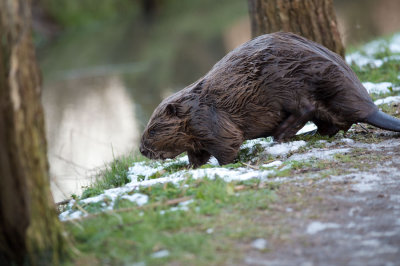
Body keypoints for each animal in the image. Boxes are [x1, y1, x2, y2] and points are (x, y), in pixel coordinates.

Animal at [139, 32, 398, 167]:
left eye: (152, 130)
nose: (141, 150)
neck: (194, 105)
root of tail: (369, 108)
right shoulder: (196, 134)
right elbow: (196, 154)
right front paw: (192, 167)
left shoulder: (207, 121)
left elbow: (228, 144)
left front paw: (223, 165)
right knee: (329, 125)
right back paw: (308, 134)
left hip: (286, 83)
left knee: (306, 108)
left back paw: (280, 135)